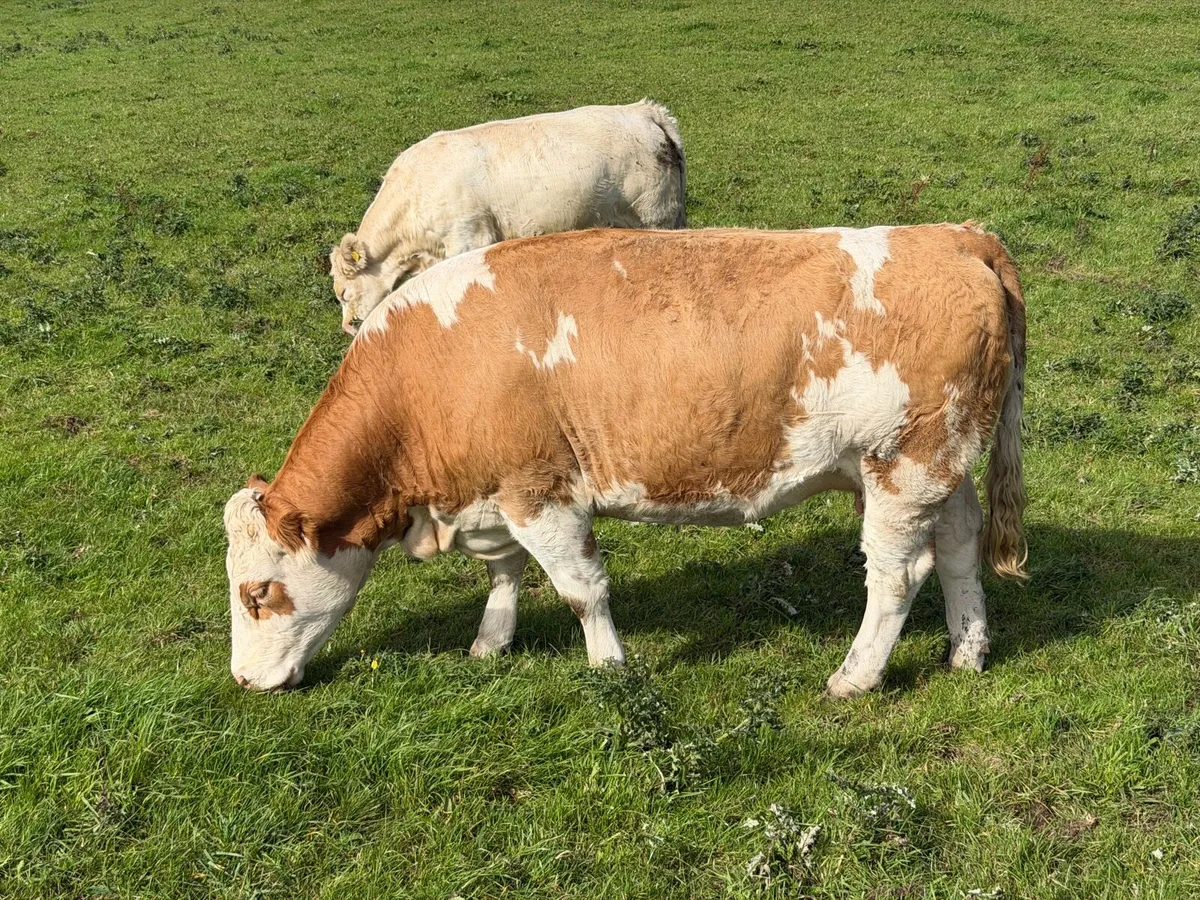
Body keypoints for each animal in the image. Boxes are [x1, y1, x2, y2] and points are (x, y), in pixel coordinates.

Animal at [226, 224, 1027, 698]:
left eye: (258, 594)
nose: (240, 680)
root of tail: (953, 236)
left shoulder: (540, 491)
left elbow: (582, 589)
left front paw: (609, 666)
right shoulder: (498, 491)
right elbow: (505, 573)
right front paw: (491, 642)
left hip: (903, 467)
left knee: (897, 576)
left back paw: (854, 678)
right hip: (939, 467)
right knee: (959, 547)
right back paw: (967, 651)